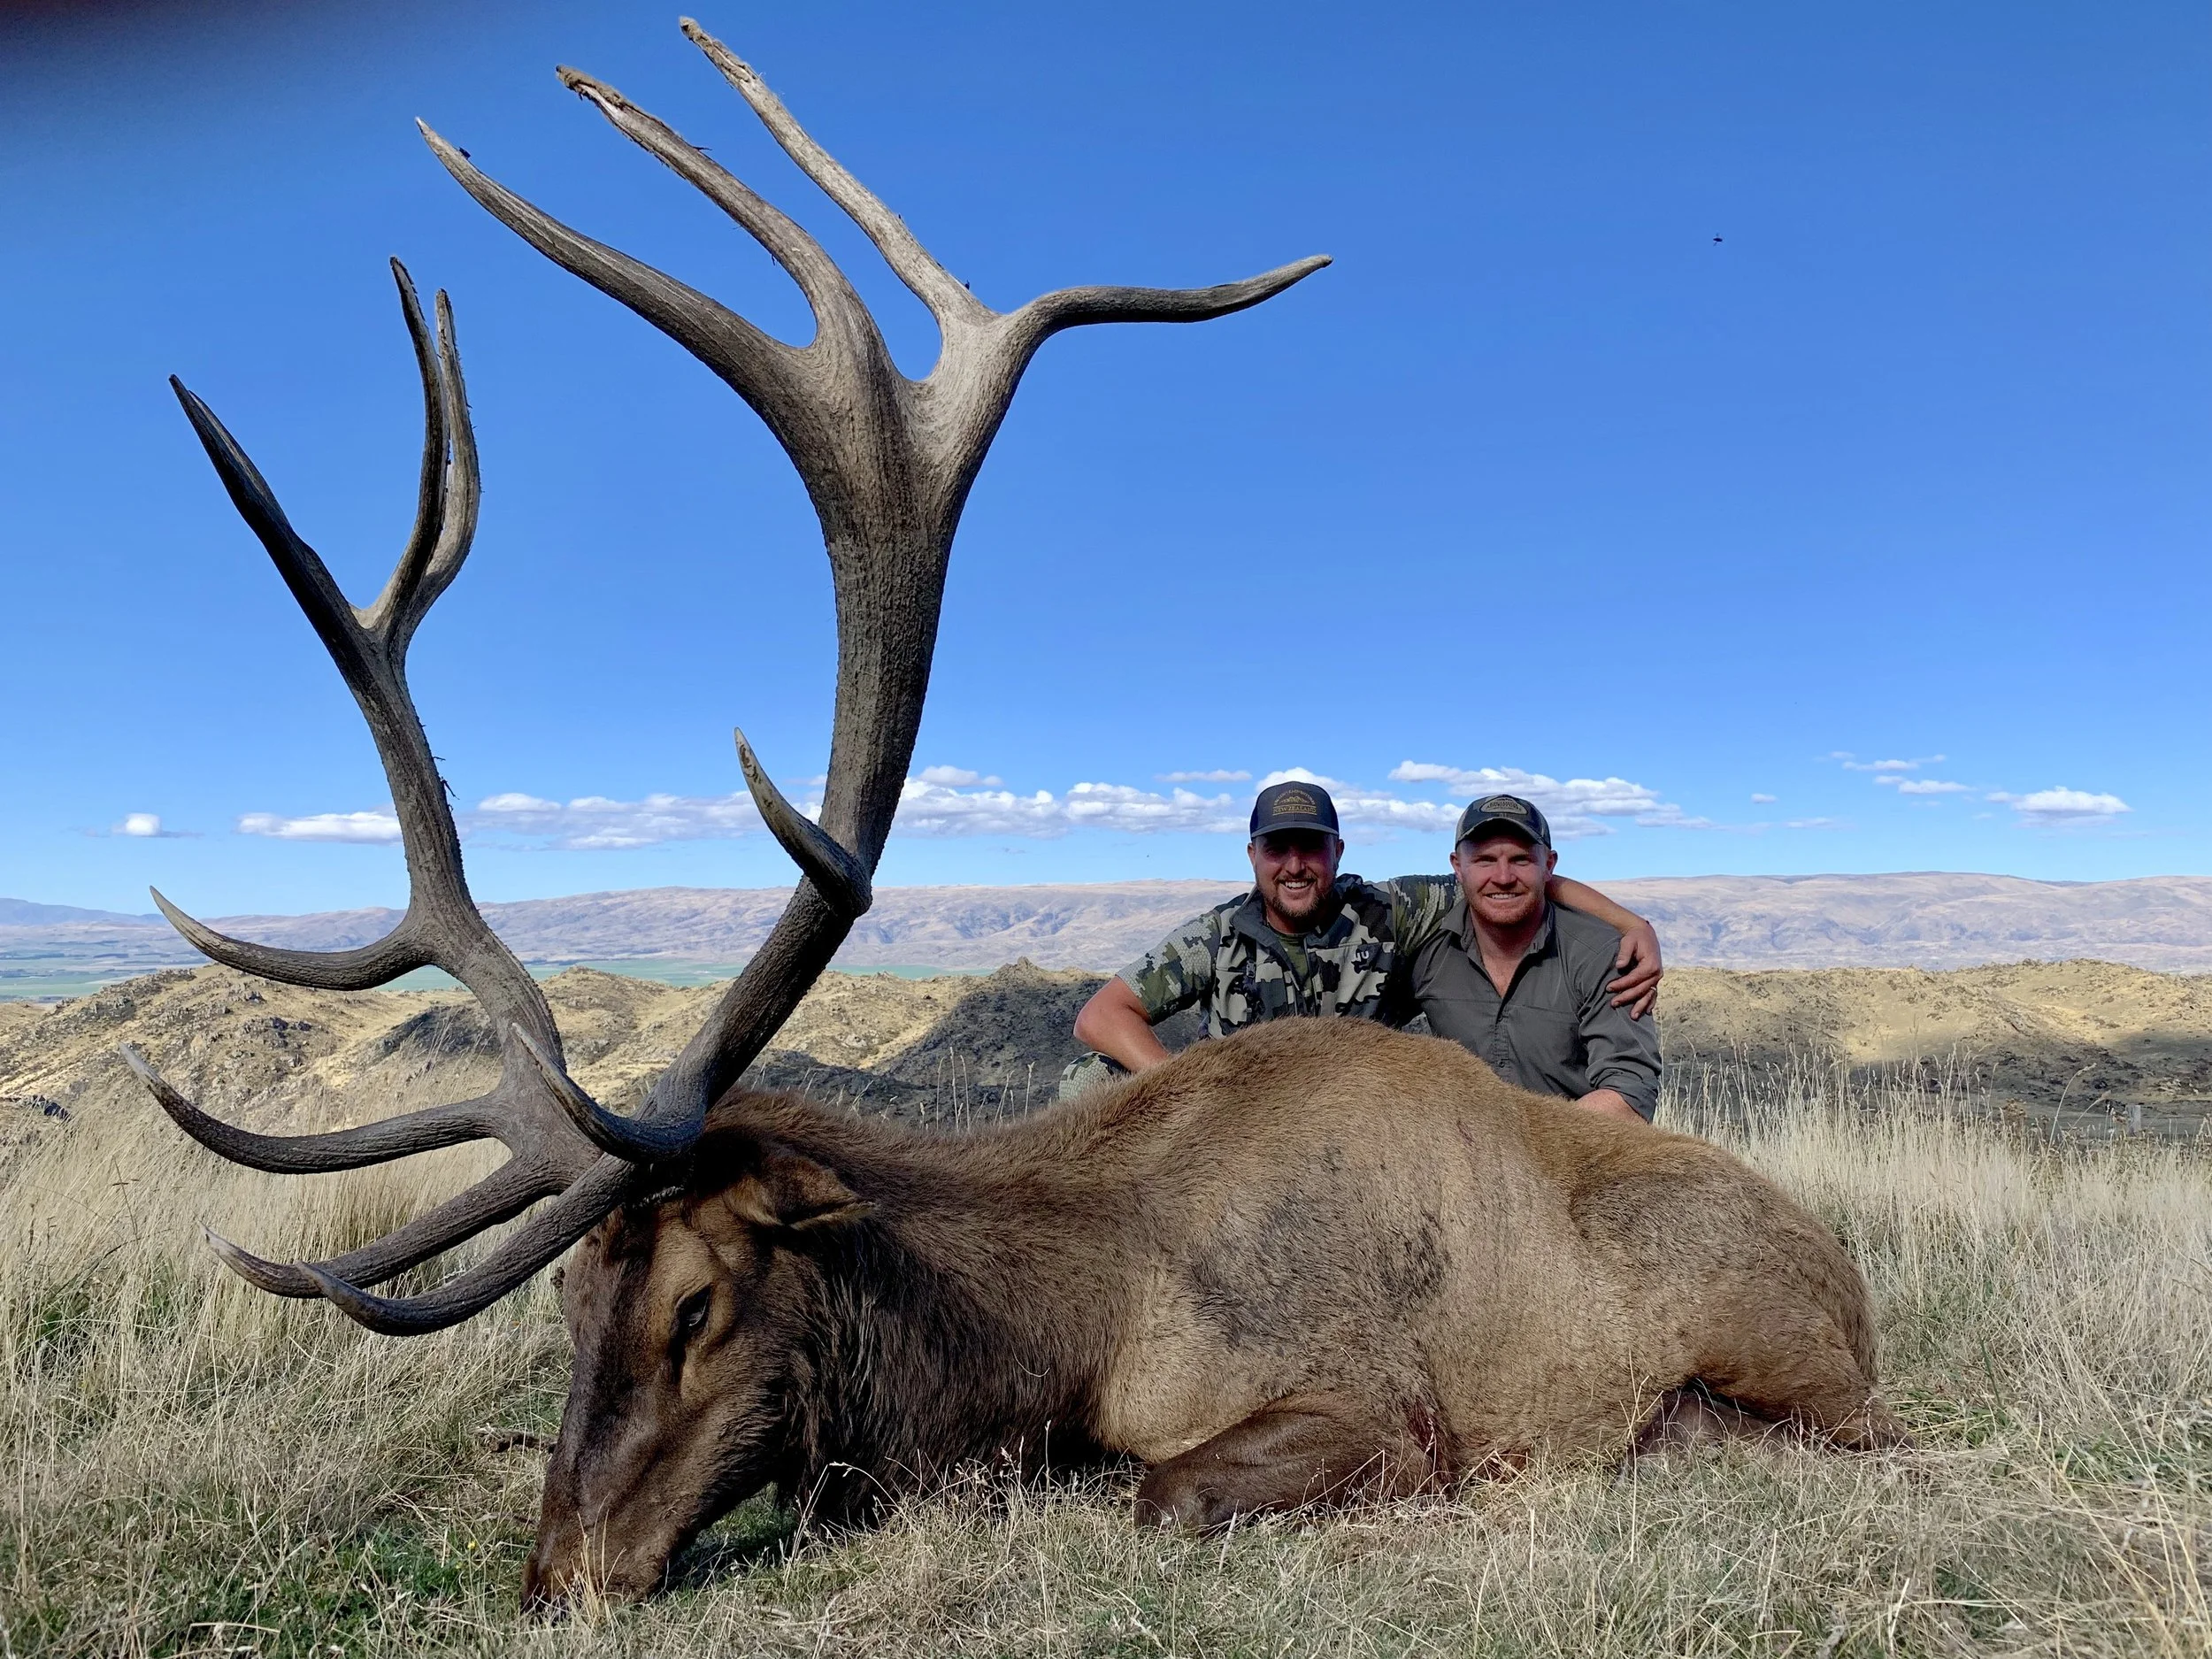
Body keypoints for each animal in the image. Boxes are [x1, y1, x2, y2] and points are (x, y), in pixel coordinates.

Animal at [127, 18, 1903, 1611]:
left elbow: (1158, 1490)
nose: (560, 1572)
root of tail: (1854, 1279)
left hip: (1790, 1359)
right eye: (567, 1305)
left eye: (698, 1306)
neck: (1067, 1318)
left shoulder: (1373, 1403)